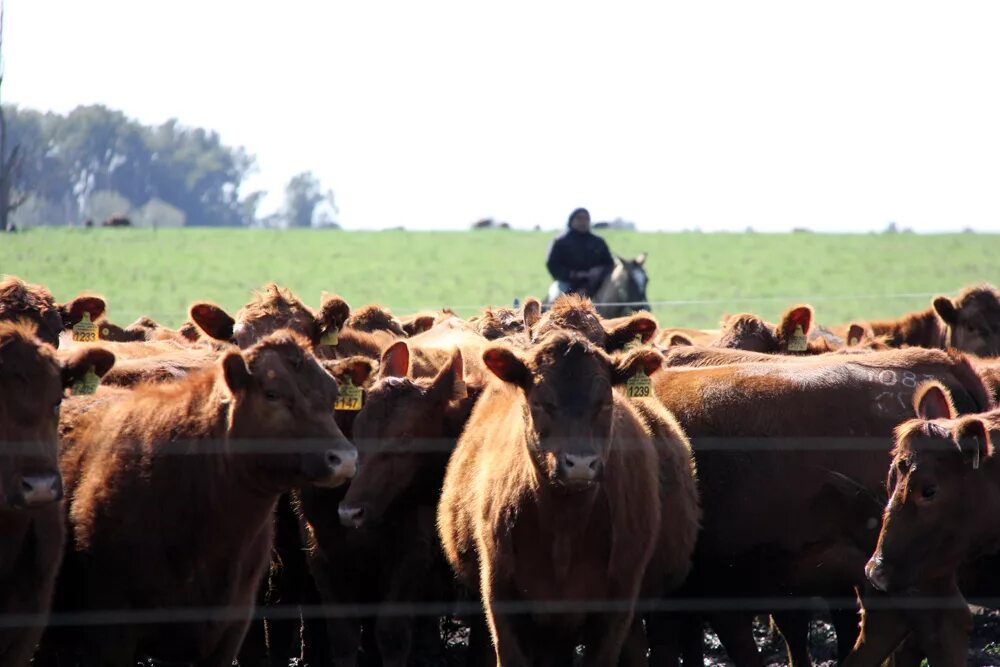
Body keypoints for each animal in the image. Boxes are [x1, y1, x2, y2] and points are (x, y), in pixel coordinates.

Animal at [440, 334, 680, 667]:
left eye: (605, 403)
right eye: (540, 402)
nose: (579, 464)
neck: (565, 526)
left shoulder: (618, 602)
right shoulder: (500, 592)